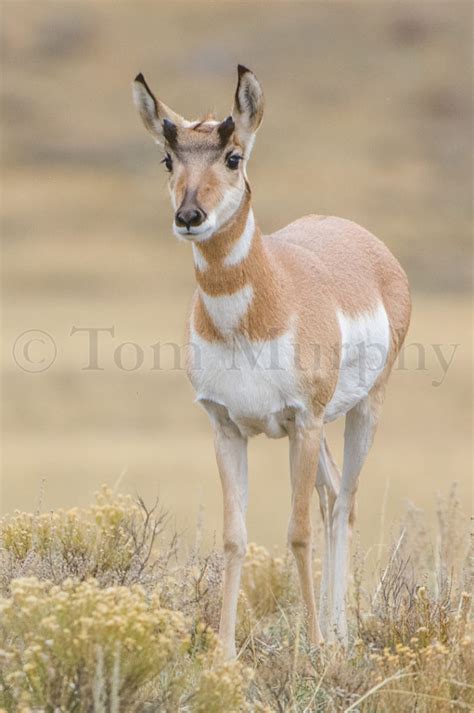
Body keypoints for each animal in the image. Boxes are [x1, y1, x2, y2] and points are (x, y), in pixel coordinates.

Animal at [133, 65, 412, 656]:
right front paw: (223, 652)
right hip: (323, 428)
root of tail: (361, 238)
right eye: (168, 159)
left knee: (344, 502)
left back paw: (337, 635)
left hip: (361, 412)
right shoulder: (226, 428)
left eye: (233, 156)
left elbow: (297, 532)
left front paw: (314, 650)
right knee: (332, 496)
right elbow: (235, 536)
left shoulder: (301, 423)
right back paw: (333, 628)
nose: (189, 216)